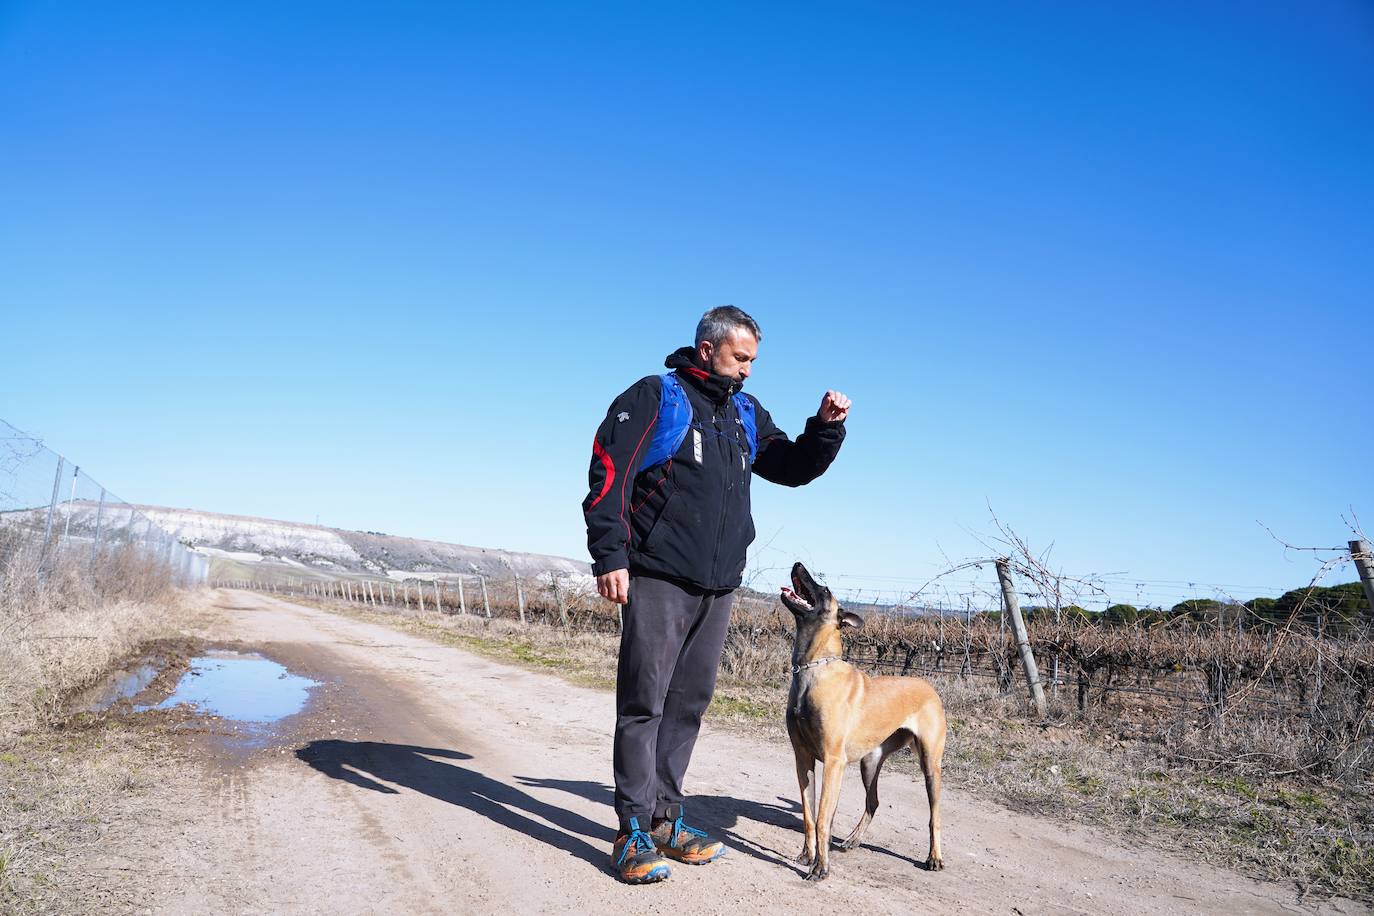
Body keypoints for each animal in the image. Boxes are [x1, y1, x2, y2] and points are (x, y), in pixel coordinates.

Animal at [785, 560, 945, 878]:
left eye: (824, 590)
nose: (797, 563)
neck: (813, 670)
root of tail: (930, 687)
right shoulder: (803, 758)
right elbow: (809, 815)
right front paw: (808, 855)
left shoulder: (833, 762)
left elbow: (822, 819)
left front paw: (821, 867)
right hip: (869, 764)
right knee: (873, 801)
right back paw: (852, 840)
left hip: (930, 766)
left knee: (934, 815)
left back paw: (934, 857)